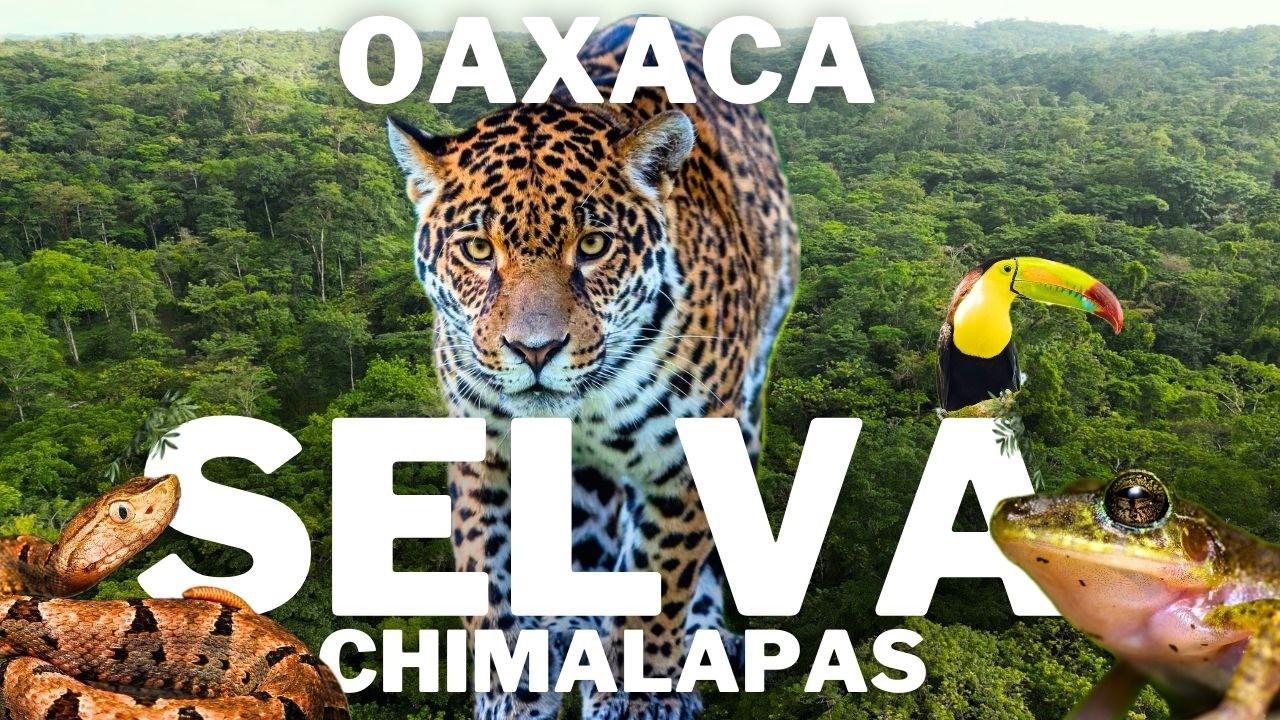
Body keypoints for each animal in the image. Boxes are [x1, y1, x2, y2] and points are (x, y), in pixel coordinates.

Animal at [387, 16, 797, 720]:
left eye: (595, 245)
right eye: (478, 249)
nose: (534, 349)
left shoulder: (680, 463)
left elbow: (659, 591)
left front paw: (642, 693)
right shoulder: (485, 456)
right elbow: (491, 586)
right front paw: (512, 692)